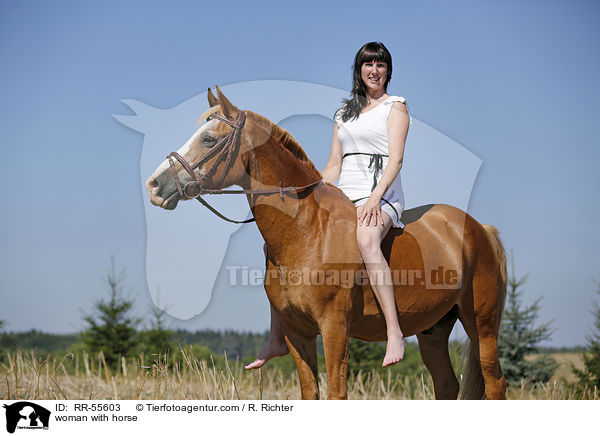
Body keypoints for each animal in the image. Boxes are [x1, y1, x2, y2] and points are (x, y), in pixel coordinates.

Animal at [145, 85, 506, 398]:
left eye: (208, 139)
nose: (154, 185)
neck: (307, 231)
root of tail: (481, 229)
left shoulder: (334, 330)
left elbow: (336, 393)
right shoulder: (298, 334)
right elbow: (311, 392)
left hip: (482, 324)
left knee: (494, 381)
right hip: (433, 330)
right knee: (446, 384)